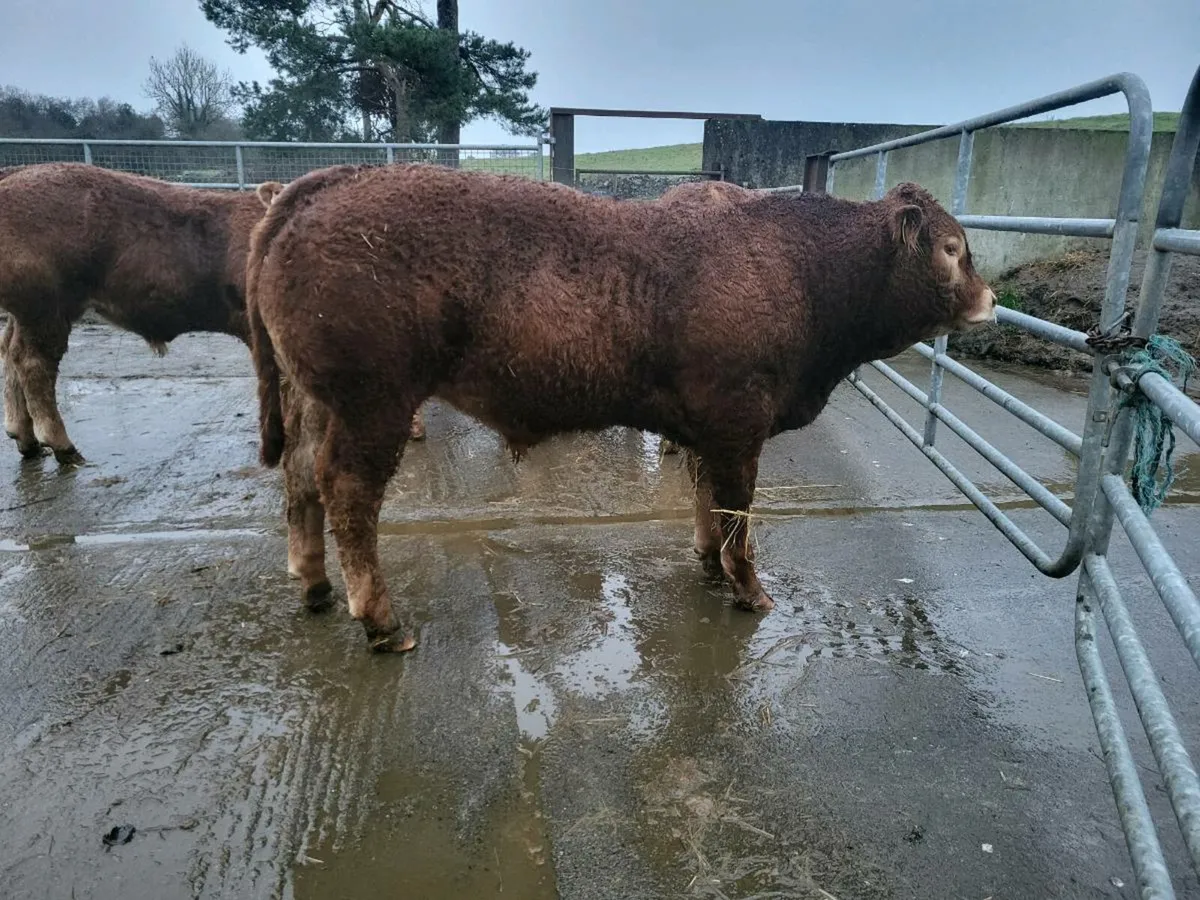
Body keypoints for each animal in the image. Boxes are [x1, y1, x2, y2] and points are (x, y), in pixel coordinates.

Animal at [0, 163, 291, 466]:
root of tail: (17, 173)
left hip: (27, 312)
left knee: (9, 350)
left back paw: (26, 440)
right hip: (46, 308)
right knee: (33, 361)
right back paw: (63, 446)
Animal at [246, 163, 997, 653]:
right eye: (952, 249)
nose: (990, 300)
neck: (795, 265)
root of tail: (317, 186)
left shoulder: (706, 430)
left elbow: (707, 500)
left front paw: (706, 563)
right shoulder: (739, 427)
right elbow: (737, 510)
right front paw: (748, 589)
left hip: (318, 402)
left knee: (302, 478)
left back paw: (314, 586)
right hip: (373, 406)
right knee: (347, 492)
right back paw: (381, 622)